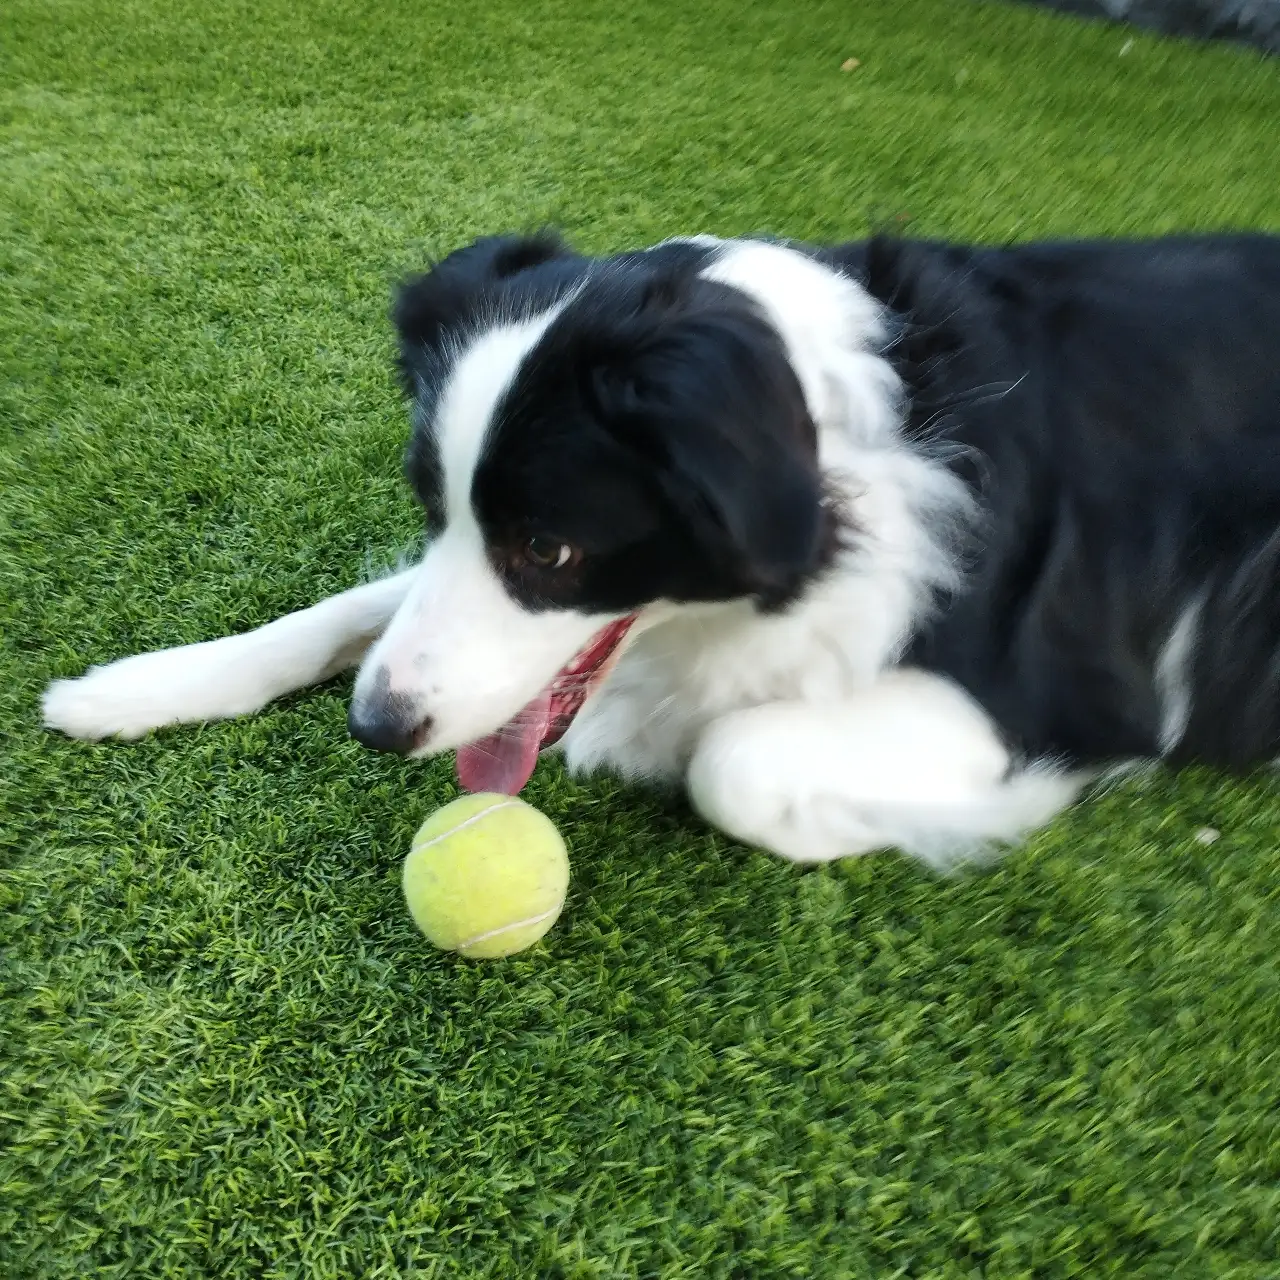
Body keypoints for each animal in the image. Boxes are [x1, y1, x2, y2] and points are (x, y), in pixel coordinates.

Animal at [42, 230, 1280, 866]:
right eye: (432, 507)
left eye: (549, 549)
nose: (376, 729)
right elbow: (345, 611)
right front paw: (135, 685)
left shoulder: (1060, 694)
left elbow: (732, 757)